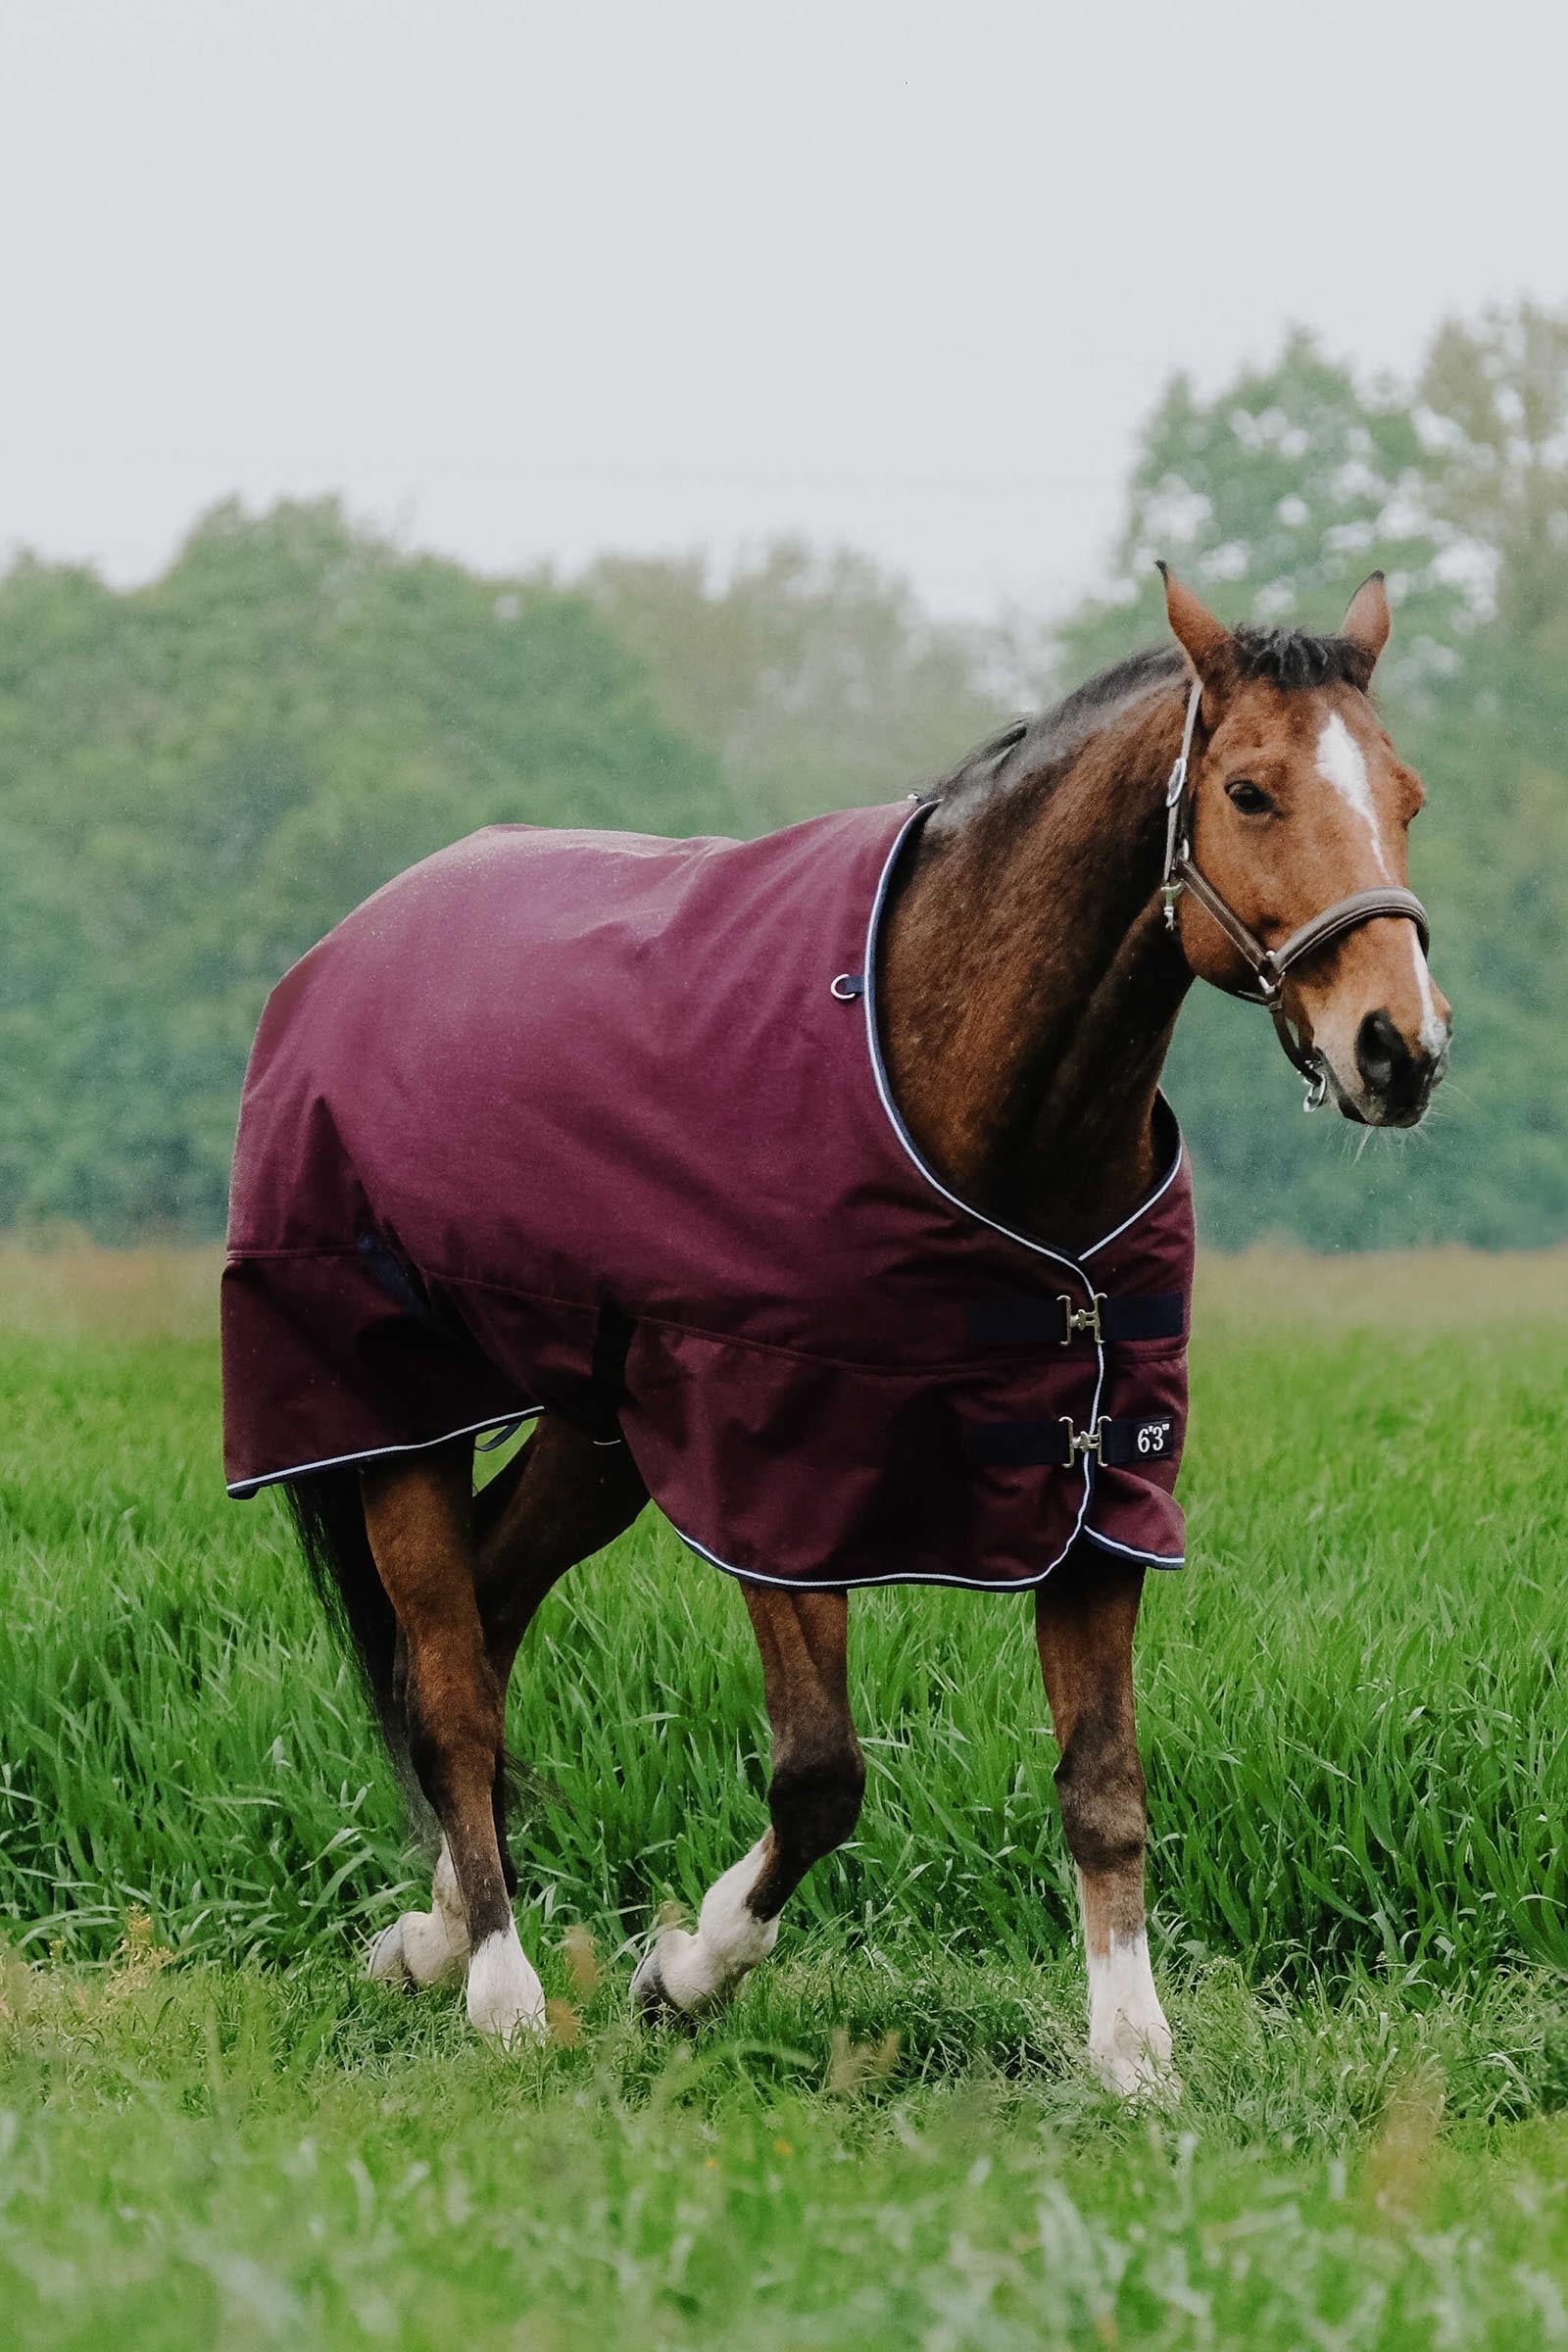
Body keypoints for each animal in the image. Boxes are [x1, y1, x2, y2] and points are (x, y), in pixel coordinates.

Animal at [220, 566, 1449, 2087]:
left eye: (1406, 794)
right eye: (1251, 790)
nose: (1400, 1048)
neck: (959, 1077)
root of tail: (341, 951)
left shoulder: (1097, 1479)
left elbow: (1104, 1787)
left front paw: (1134, 2054)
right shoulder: (778, 1473)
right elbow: (819, 1778)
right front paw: (685, 1973)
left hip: (598, 1432)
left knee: (492, 1614)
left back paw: (431, 1937)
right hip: (396, 1412)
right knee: (448, 1679)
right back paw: (499, 1986)